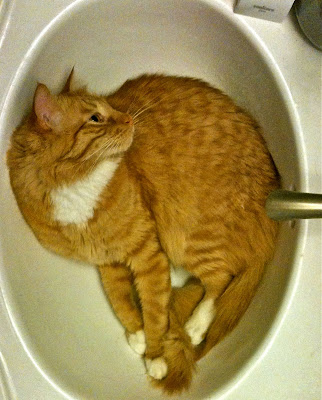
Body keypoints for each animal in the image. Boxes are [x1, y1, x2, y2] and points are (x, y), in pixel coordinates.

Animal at [6, 71, 280, 394]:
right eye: (96, 118)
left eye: (110, 107)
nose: (129, 119)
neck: (76, 188)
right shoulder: (107, 261)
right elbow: (120, 301)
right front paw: (136, 334)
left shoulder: (148, 255)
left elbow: (154, 312)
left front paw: (154, 355)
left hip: (188, 240)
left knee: (221, 279)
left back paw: (196, 326)